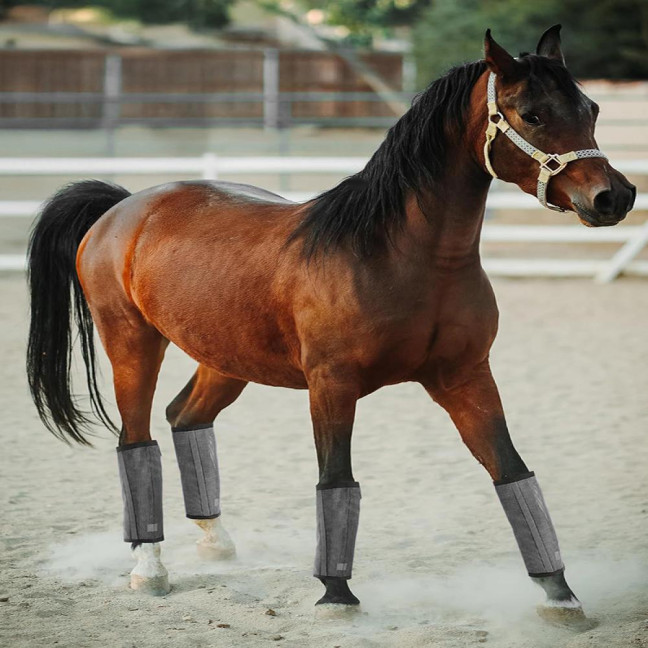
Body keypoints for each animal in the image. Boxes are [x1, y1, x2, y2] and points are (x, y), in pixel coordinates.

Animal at [26, 26, 635, 624]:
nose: (615, 196)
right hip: (131, 344)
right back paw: (149, 570)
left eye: (590, 107)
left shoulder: (466, 377)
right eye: (531, 113)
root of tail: (124, 207)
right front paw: (336, 594)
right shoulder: (332, 386)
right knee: (136, 440)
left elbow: (511, 471)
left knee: (186, 419)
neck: (398, 256)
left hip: (225, 360)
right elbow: (336, 478)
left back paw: (216, 543)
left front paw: (560, 594)